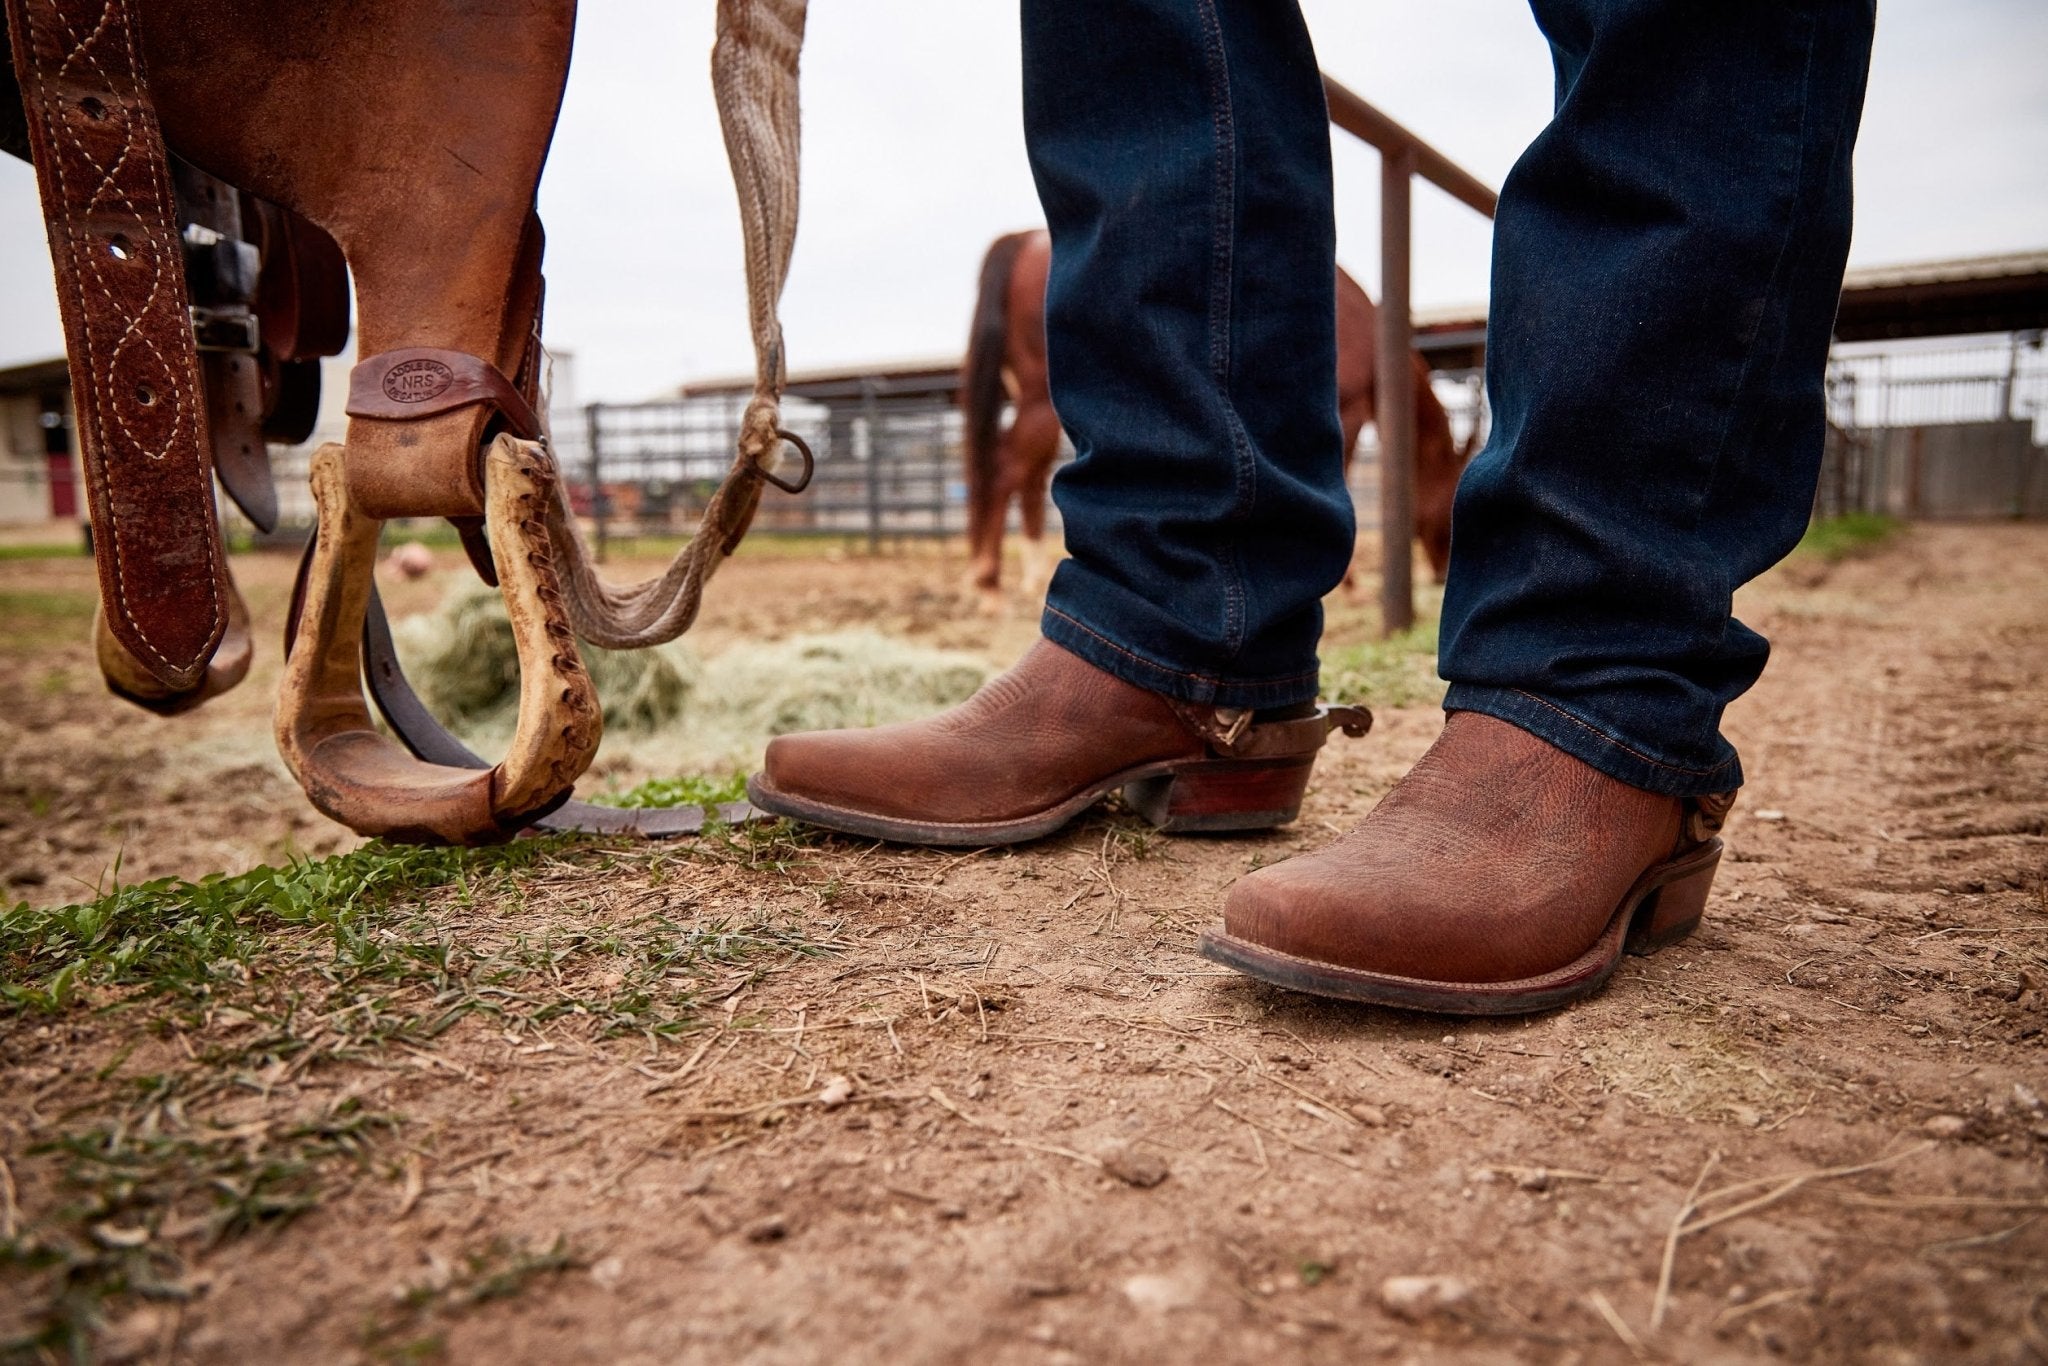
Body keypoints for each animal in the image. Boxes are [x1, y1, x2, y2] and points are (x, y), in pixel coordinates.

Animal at [958, 227, 1474, 610]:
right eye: (1452, 511)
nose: (1442, 574)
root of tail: (1024, 240)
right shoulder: (1344, 413)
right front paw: (1346, 585)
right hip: (1039, 401)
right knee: (1006, 472)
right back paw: (988, 584)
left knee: (1024, 478)